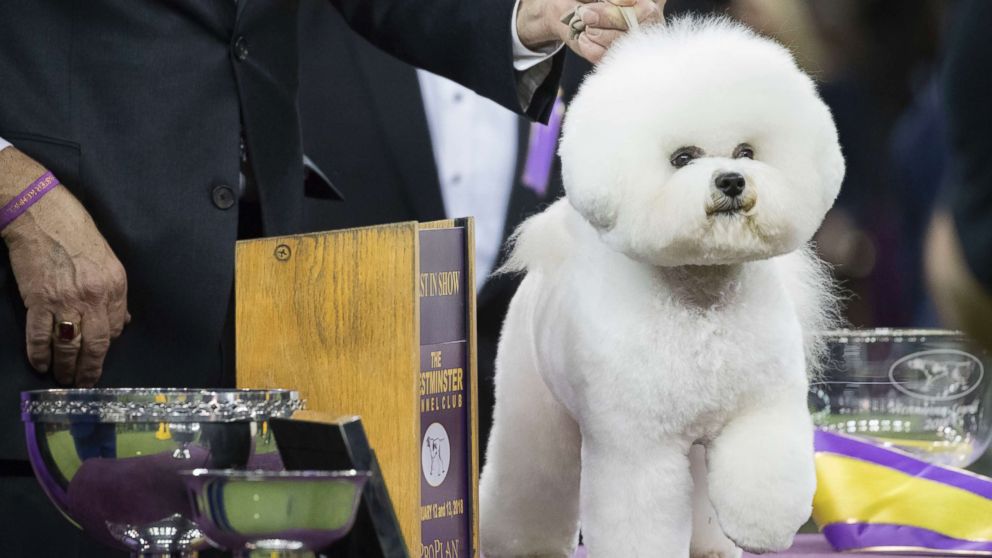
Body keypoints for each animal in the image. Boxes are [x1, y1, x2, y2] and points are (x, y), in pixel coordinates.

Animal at [480, 16, 844, 558]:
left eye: (746, 152)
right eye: (682, 158)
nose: (732, 180)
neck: (701, 299)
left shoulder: (760, 407)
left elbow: (764, 472)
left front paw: (763, 527)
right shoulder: (637, 445)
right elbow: (638, 519)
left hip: (696, 443)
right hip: (535, 410)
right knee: (530, 480)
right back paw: (523, 546)